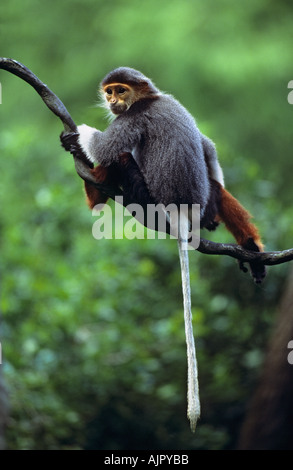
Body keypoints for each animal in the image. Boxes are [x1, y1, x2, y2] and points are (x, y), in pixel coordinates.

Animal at [60, 66, 266, 430]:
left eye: (120, 90)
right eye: (109, 91)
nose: (112, 101)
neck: (151, 98)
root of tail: (179, 216)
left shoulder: (133, 117)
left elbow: (106, 146)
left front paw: (80, 135)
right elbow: (207, 146)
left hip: (146, 198)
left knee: (120, 157)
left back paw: (97, 186)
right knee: (214, 184)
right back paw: (251, 248)